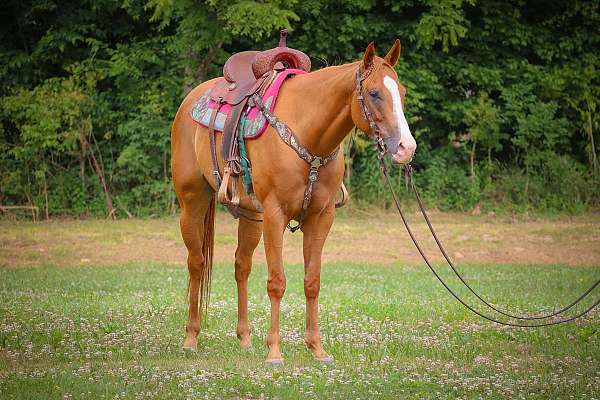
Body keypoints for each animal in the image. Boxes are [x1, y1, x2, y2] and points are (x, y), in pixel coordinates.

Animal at [170, 40, 418, 366]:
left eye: (401, 92)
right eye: (375, 93)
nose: (406, 147)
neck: (308, 136)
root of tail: (191, 100)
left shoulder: (320, 218)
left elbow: (312, 281)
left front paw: (317, 348)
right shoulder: (275, 215)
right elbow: (277, 282)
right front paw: (274, 352)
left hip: (251, 216)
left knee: (241, 266)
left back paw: (245, 339)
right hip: (192, 203)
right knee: (196, 263)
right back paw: (190, 338)